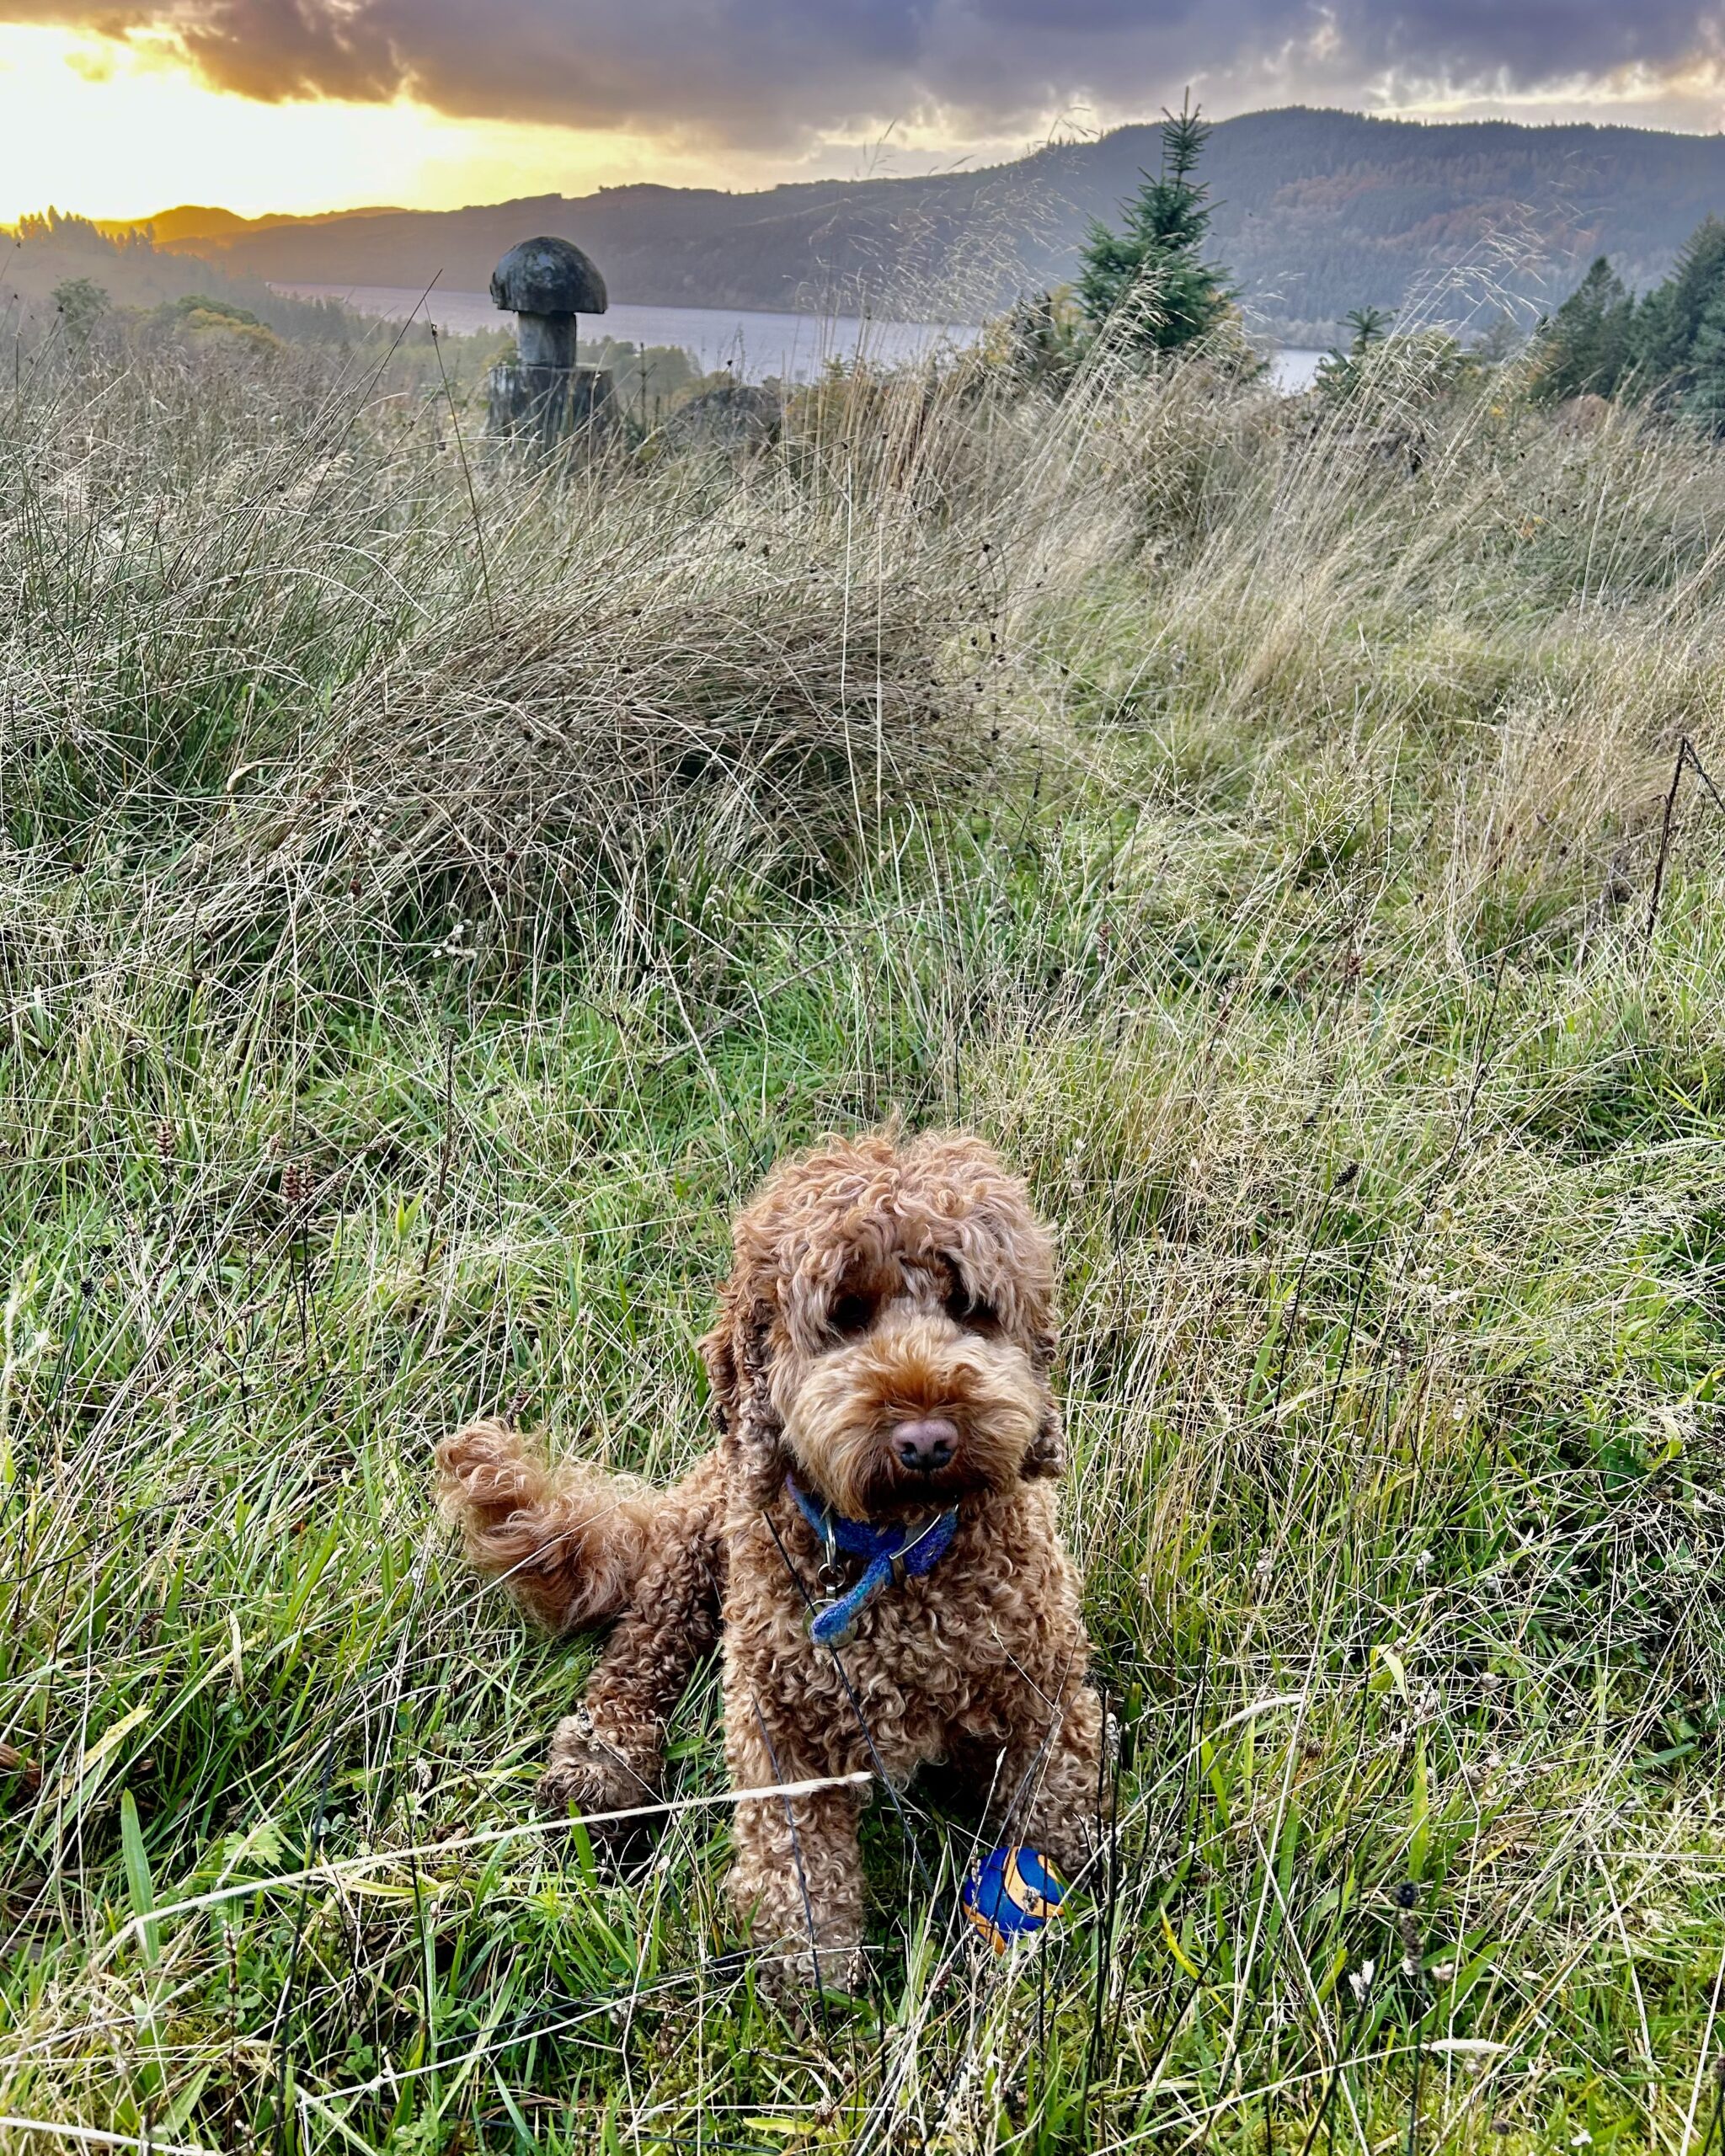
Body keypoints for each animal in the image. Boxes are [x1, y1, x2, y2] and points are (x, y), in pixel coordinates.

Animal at [431, 1129, 1103, 1983]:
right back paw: (604, 1764)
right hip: (696, 1551)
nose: (926, 1439)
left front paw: (1046, 1925)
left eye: (969, 1308)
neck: (895, 1553)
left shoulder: (1047, 1689)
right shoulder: (776, 1721)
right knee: (637, 1655)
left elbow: (1054, 1798)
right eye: (844, 1314)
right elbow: (795, 1862)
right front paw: (812, 1980)